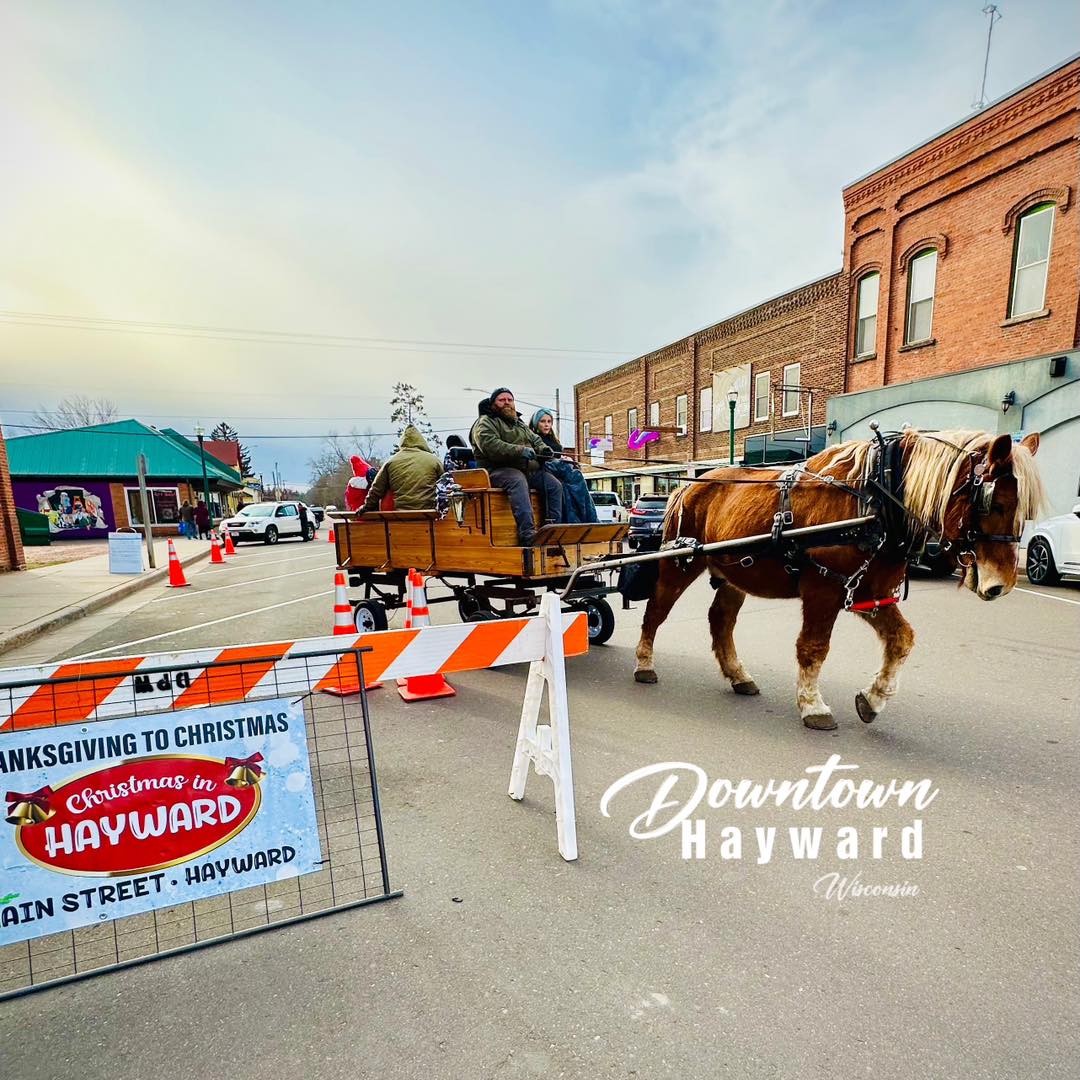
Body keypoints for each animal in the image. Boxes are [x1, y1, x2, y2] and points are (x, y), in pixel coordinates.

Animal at [630, 429, 1045, 734]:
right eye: (994, 502)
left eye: (1025, 510)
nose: (1000, 584)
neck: (876, 500)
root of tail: (686, 486)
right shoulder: (823, 588)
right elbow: (813, 648)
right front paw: (813, 706)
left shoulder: (868, 591)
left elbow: (901, 640)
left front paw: (873, 699)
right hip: (679, 564)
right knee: (655, 612)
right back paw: (644, 665)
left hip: (733, 573)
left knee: (721, 620)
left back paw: (738, 675)